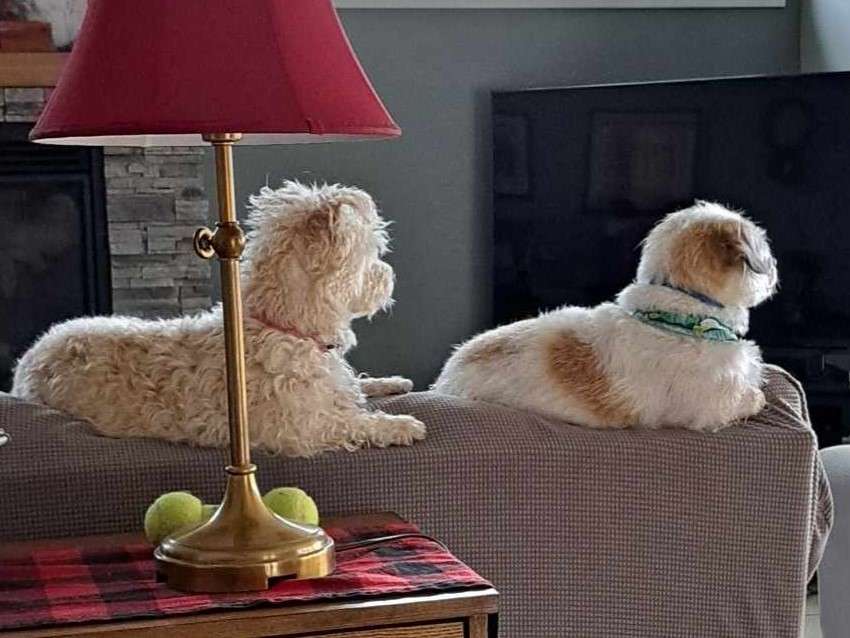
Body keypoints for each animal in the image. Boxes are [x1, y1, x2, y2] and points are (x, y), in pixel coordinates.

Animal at [13, 182, 424, 458]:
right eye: (374, 251)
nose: (389, 276)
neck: (280, 323)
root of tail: (29, 357)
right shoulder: (299, 426)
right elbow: (351, 421)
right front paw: (400, 425)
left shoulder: (333, 387)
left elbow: (359, 385)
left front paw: (391, 382)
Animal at [434, 204, 780, 436]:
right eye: (766, 253)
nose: (776, 267)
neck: (681, 317)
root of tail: (442, 383)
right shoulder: (713, 406)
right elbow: (752, 396)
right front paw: (759, 397)